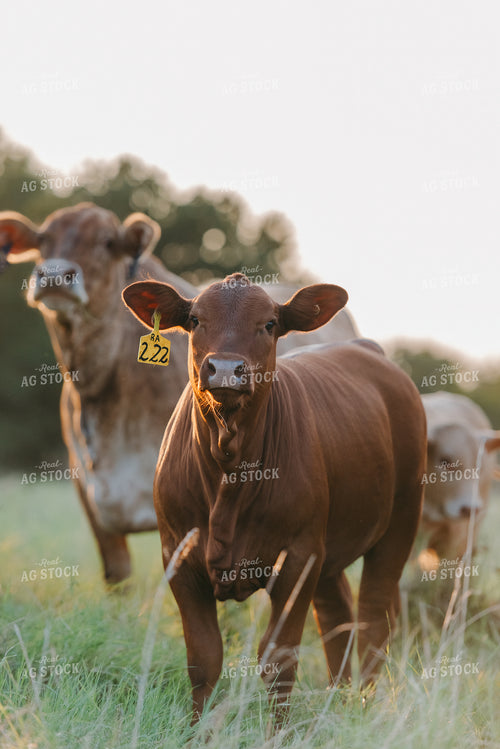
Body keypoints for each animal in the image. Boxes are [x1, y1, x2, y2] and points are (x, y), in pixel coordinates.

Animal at [122, 272, 426, 725]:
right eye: (194, 320)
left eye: (268, 324)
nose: (225, 368)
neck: (229, 469)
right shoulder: (178, 555)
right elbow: (204, 657)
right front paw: (198, 731)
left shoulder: (298, 556)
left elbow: (279, 659)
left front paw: (278, 732)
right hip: (328, 550)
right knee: (337, 616)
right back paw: (338, 702)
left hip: (400, 523)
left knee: (373, 619)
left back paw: (364, 707)